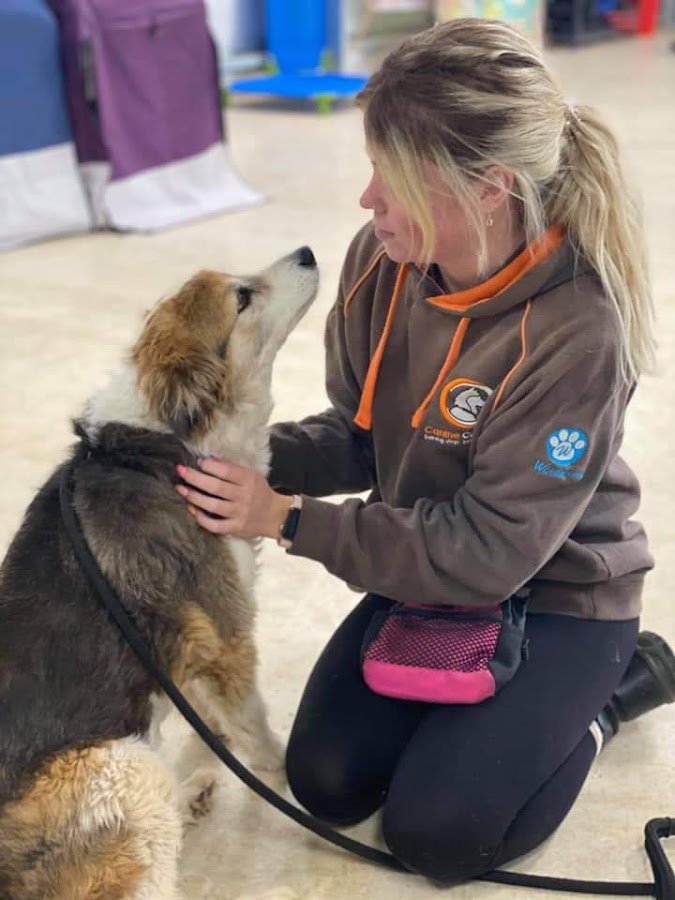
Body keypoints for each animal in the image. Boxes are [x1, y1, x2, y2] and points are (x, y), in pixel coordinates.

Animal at [0, 246, 319, 899]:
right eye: (242, 297)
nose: (307, 252)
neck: (161, 446)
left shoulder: (190, 647)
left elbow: (212, 721)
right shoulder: (227, 638)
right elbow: (260, 737)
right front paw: (283, 787)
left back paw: (192, 793)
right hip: (125, 770)